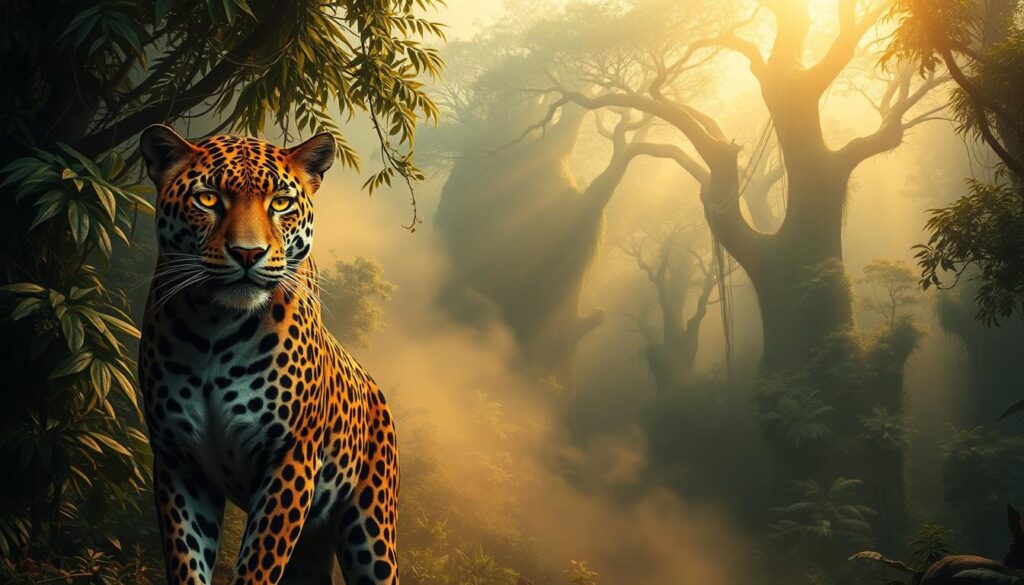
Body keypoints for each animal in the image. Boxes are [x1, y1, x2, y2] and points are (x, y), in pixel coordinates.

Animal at [137, 124, 399, 585]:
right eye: (208, 199)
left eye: (280, 203)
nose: (248, 253)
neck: (214, 328)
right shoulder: (178, 459)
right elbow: (188, 560)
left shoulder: (289, 459)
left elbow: (258, 565)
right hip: (312, 547)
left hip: (372, 530)